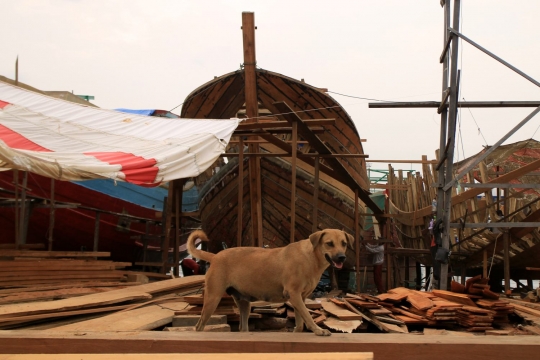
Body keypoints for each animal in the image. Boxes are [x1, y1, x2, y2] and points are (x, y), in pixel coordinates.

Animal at [187, 229, 354, 336]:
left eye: (344, 243)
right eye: (329, 243)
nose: (342, 257)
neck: (311, 257)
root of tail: (215, 256)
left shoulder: (300, 297)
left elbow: (301, 320)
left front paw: (297, 331)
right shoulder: (294, 294)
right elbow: (307, 315)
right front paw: (318, 330)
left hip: (244, 303)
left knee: (242, 327)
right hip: (213, 298)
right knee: (199, 325)